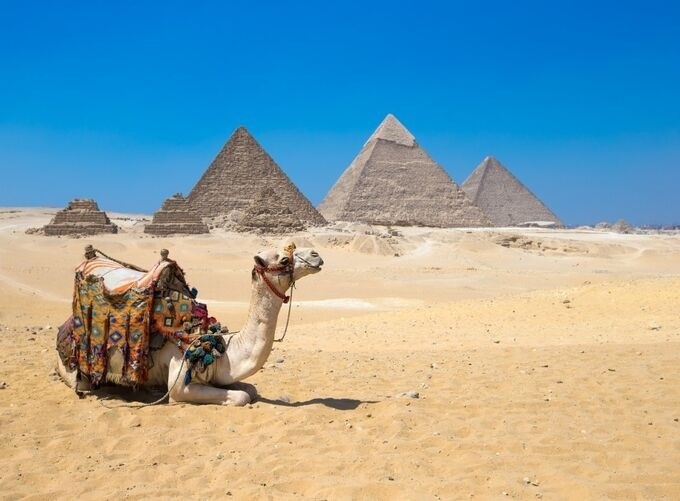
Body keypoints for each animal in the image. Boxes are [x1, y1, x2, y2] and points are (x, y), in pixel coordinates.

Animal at [56, 244, 324, 404]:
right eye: (283, 260)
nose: (316, 255)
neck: (220, 349)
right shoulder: (180, 382)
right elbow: (241, 397)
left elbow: (250, 390)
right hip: (76, 372)